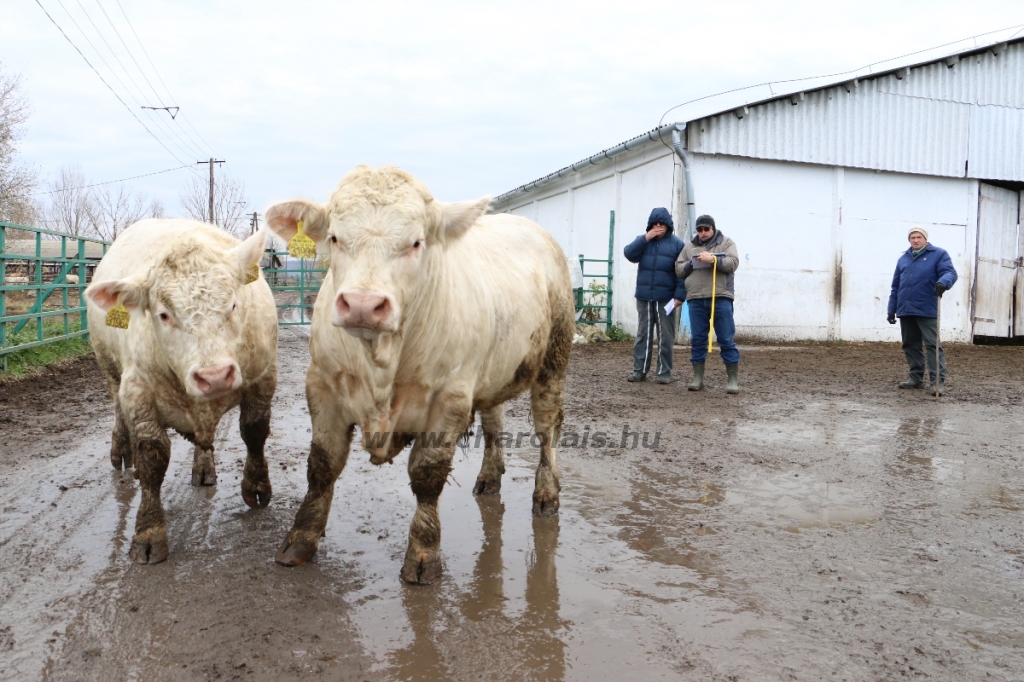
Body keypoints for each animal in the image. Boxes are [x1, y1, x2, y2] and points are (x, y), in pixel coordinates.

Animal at [86, 219, 278, 561]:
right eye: (164, 314)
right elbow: (152, 458)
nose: (214, 376)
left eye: (233, 304)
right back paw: (121, 451)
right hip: (109, 366)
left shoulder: (263, 377)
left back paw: (203, 468)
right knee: (117, 410)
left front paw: (256, 486)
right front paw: (149, 532)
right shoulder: (137, 391)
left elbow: (254, 432)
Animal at [266, 163, 577, 577]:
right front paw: (300, 538)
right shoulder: (322, 385)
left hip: (554, 358)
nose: (362, 304)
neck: (381, 363)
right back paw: (489, 476)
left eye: (416, 242)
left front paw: (423, 552)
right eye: (334, 237)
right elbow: (322, 465)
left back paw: (546, 493)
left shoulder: (450, 399)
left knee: (546, 427)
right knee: (494, 422)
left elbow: (427, 475)